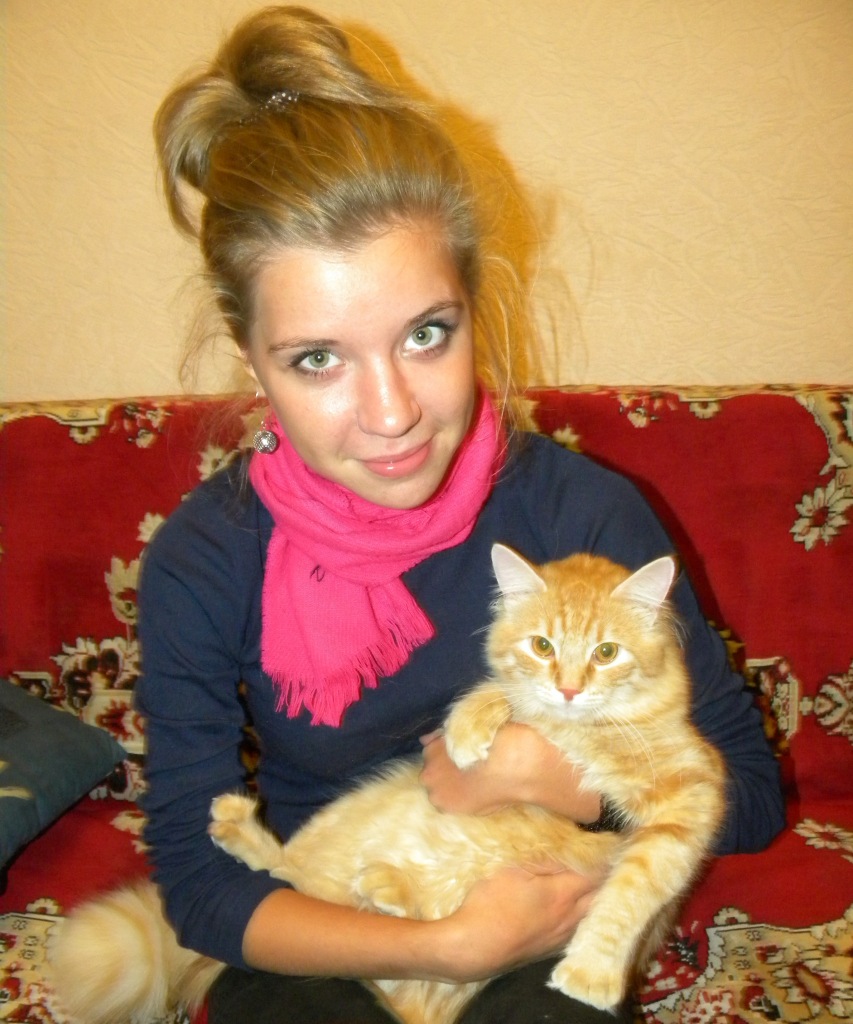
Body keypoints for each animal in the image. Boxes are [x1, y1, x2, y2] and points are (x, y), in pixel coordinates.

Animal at [50, 544, 725, 1024]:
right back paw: (268, 838)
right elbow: (496, 691)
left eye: (607, 653)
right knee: (296, 876)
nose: (568, 688)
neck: (574, 730)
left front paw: (591, 971)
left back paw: (383, 886)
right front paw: (470, 730)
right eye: (542, 645)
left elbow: (629, 895)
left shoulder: (691, 799)